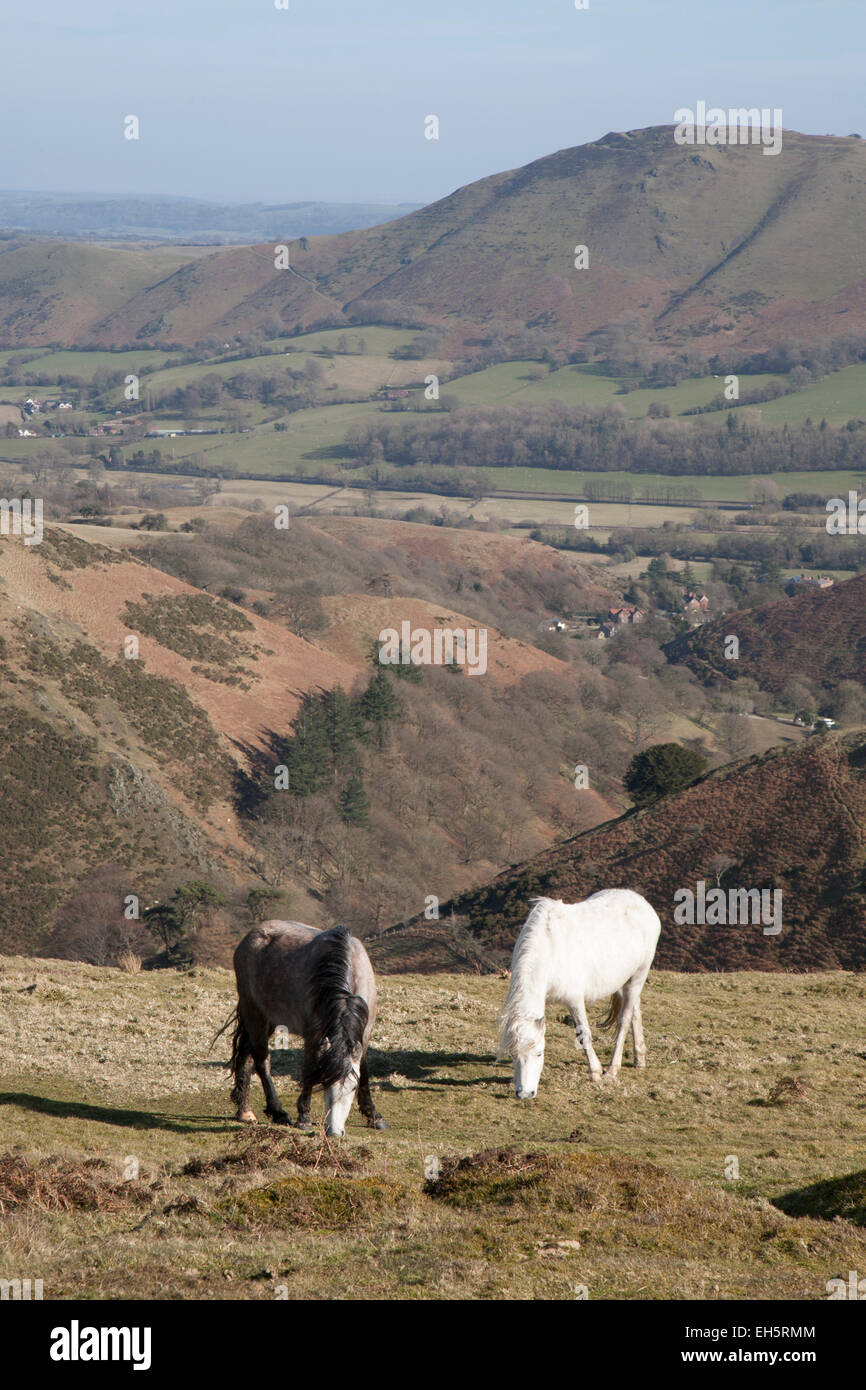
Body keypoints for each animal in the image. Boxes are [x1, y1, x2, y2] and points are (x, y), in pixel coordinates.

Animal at [225, 917, 389, 1134]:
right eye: (326, 1084)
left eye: (352, 1088)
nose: (334, 1131)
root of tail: (250, 937)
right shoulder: (314, 1034)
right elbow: (309, 1069)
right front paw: (303, 1117)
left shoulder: (365, 1033)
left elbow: (364, 1072)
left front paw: (374, 1115)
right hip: (255, 1014)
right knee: (261, 1061)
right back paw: (277, 1111)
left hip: (268, 1020)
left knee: (245, 1054)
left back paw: (244, 1110)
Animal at [497, 889, 661, 1095]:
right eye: (513, 1054)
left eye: (539, 1053)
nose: (525, 1093)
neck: (550, 948)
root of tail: (642, 902)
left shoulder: (574, 1000)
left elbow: (584, 1034)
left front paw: (595, 1072)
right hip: (624, 980)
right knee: (635, 1012)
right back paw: (640, 1058)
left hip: (639, 974)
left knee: (624, 1020)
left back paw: (613, 1069)